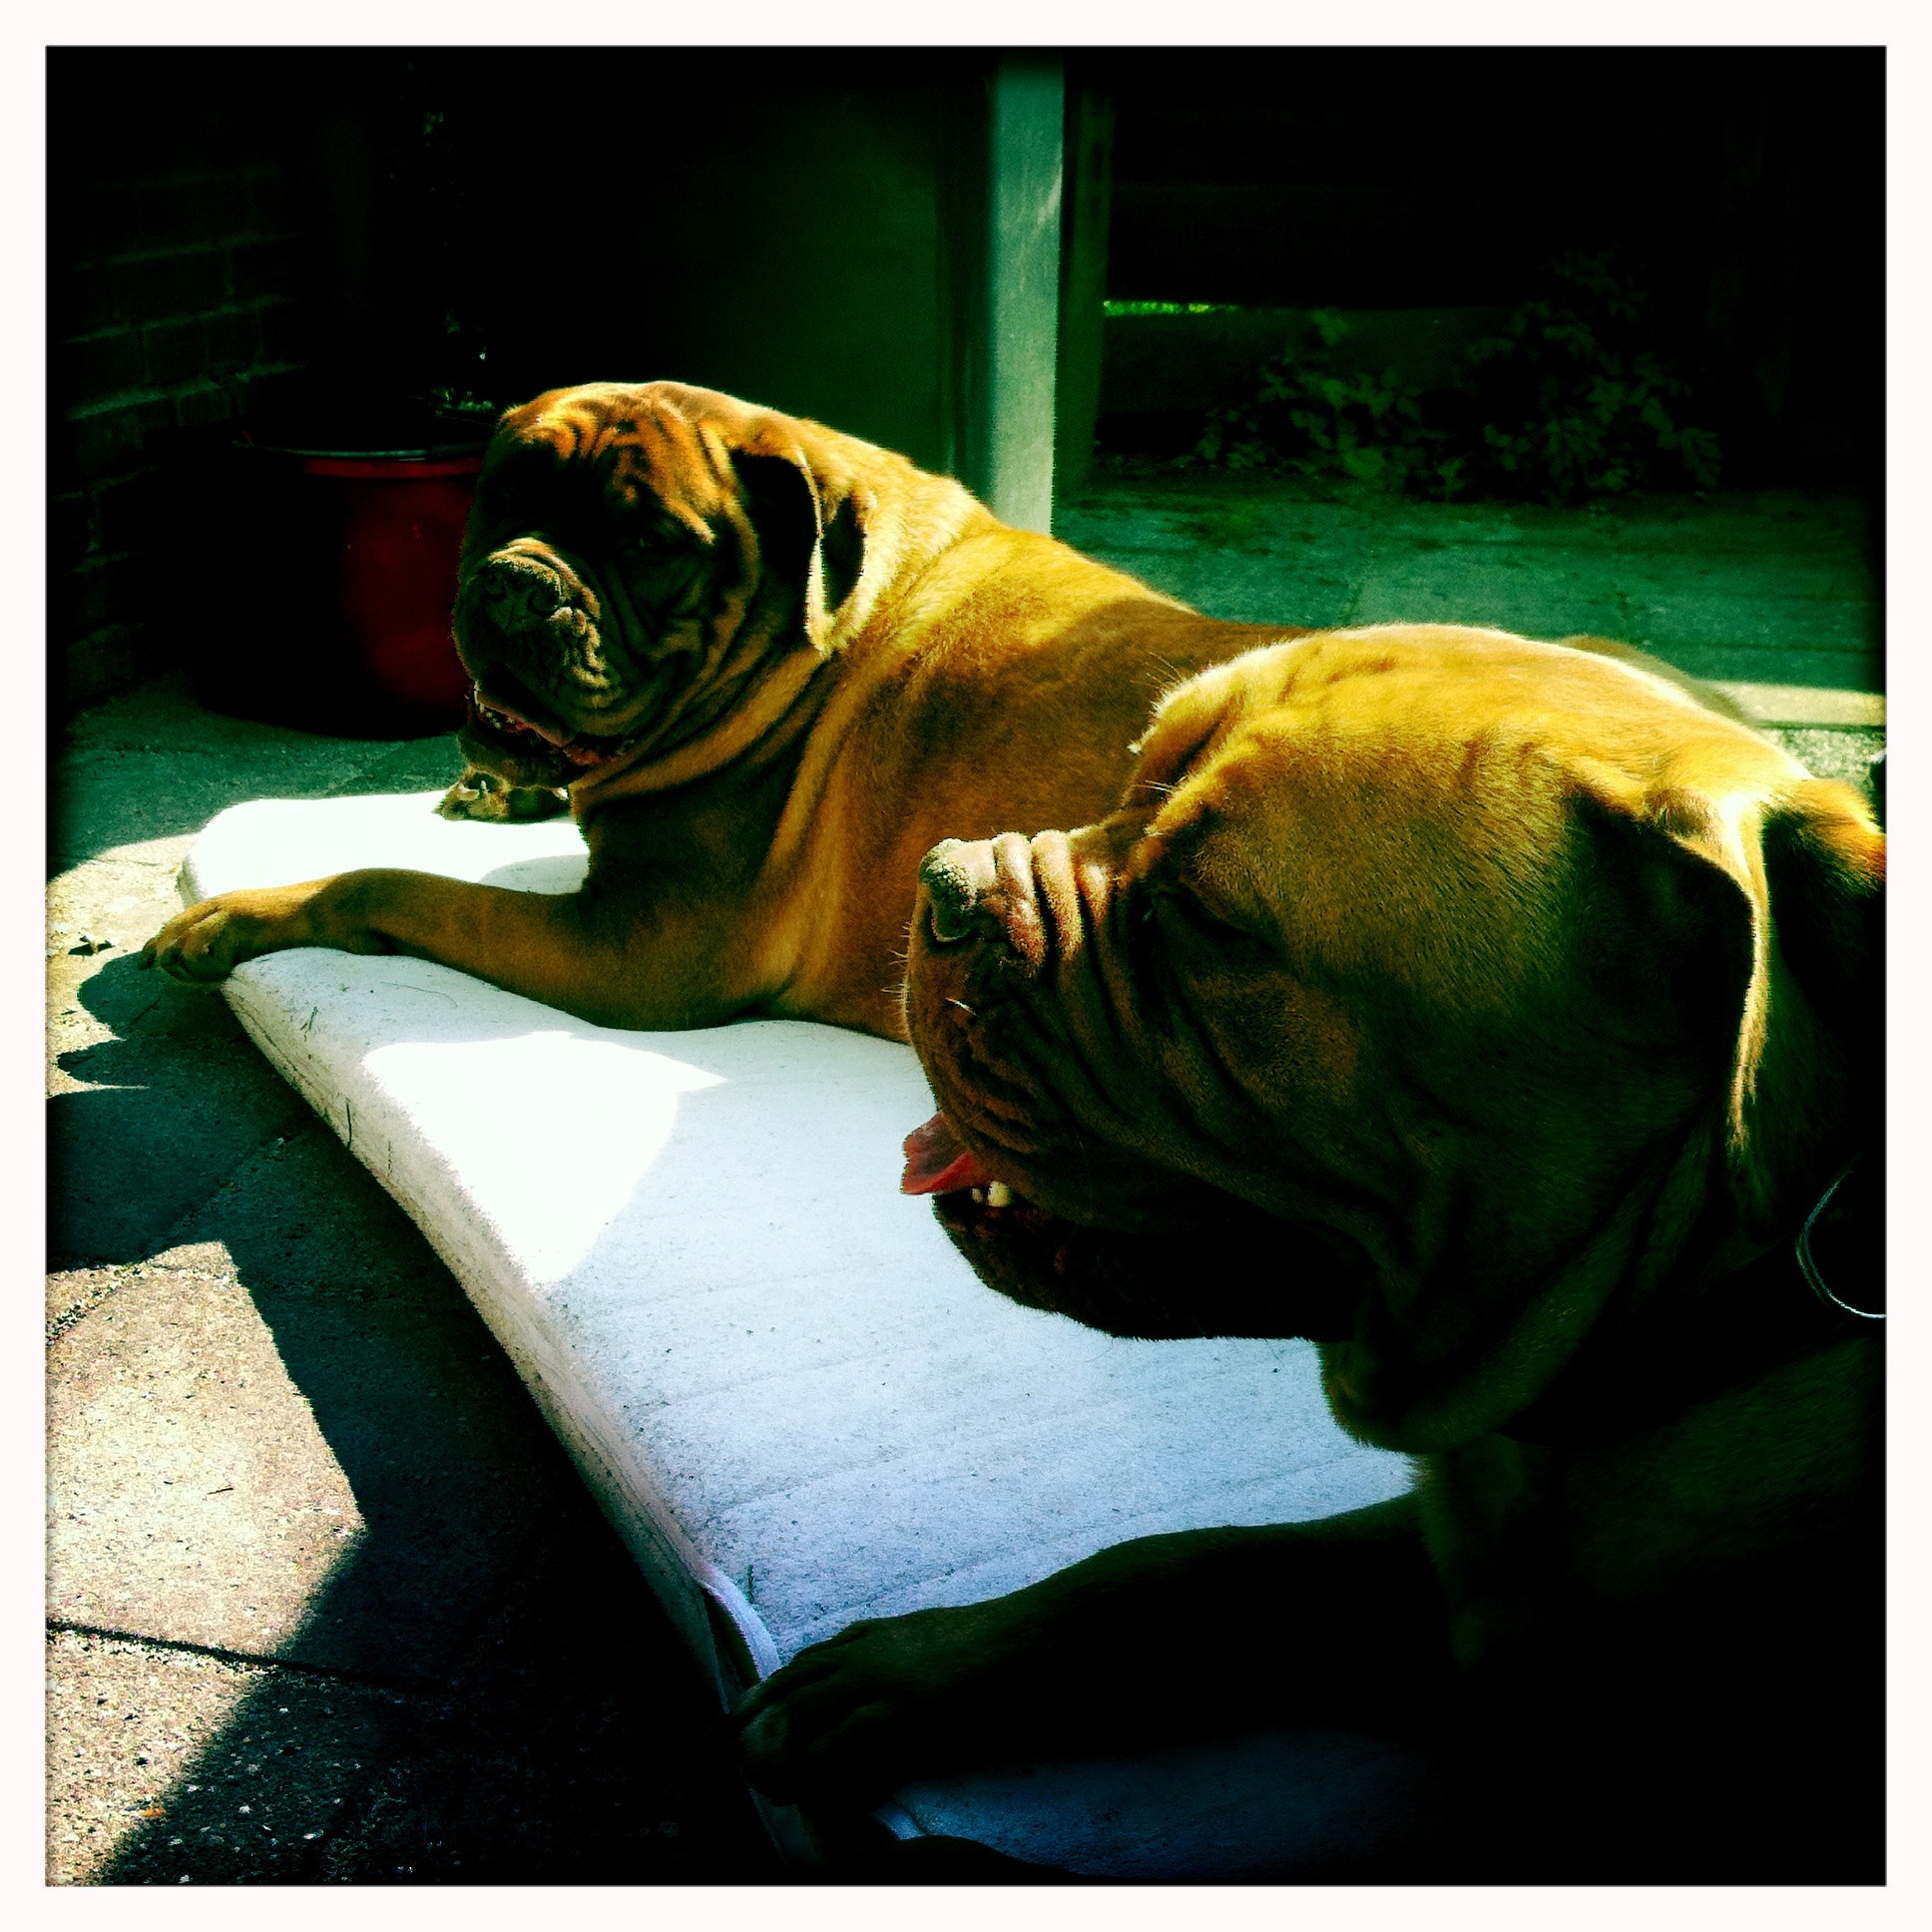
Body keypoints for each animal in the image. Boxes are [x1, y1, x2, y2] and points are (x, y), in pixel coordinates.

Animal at [142, 381, 1303, 1038]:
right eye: (504, 491)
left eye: (652, 545)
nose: (517, 584)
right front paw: (499, 792)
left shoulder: (637, 947)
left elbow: (390, 883)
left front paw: (236, 918)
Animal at [733, 626, 1885, 1882]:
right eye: (1132, 775)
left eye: (1208, 921)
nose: (942, 881)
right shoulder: (1424, 1556)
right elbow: (1189, 1565)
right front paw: (911, 1667)